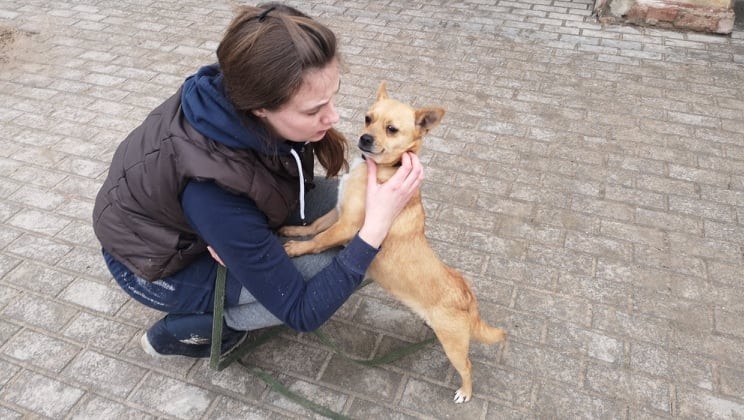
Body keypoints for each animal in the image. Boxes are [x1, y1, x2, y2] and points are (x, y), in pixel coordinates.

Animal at [279, 81, 506, 403]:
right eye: (367, 118)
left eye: (392, 129)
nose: (364, 138)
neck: (384, 169)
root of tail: (466, 295)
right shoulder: (337, 213)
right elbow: (314, 226)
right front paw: (292, 231)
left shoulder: (348, 226)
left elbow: (319, 239)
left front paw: (297, 249)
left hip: (453, 346)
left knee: (468, 366)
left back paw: (465, 391)